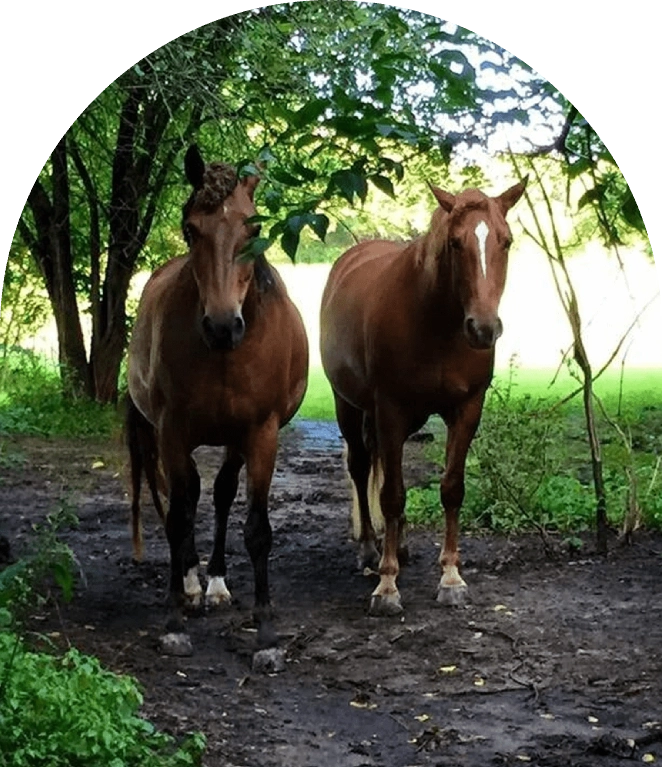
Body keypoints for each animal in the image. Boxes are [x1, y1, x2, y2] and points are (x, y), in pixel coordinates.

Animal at [126, 145, 309, 648]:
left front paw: (264, 625)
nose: (223, 326)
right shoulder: (171, 432)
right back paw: (190, 583)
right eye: (192, 228)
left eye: (255, 229)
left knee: (221, 493)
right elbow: (177, 517)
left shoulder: (261, 433)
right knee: (186, 498)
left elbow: (257, 527)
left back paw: (216, 583)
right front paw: (173, 618)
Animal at [319, 177, 528, 616]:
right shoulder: (390, 409)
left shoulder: (466, 410)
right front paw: (387, 585)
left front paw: (451, 577)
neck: (437, 324)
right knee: (362, 468)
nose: (483, 328)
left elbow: (451, 488)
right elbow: (391, 495)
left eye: (506, 241)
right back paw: (370, 549)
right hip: (349, 405)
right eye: (455, 242)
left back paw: (400, 544)